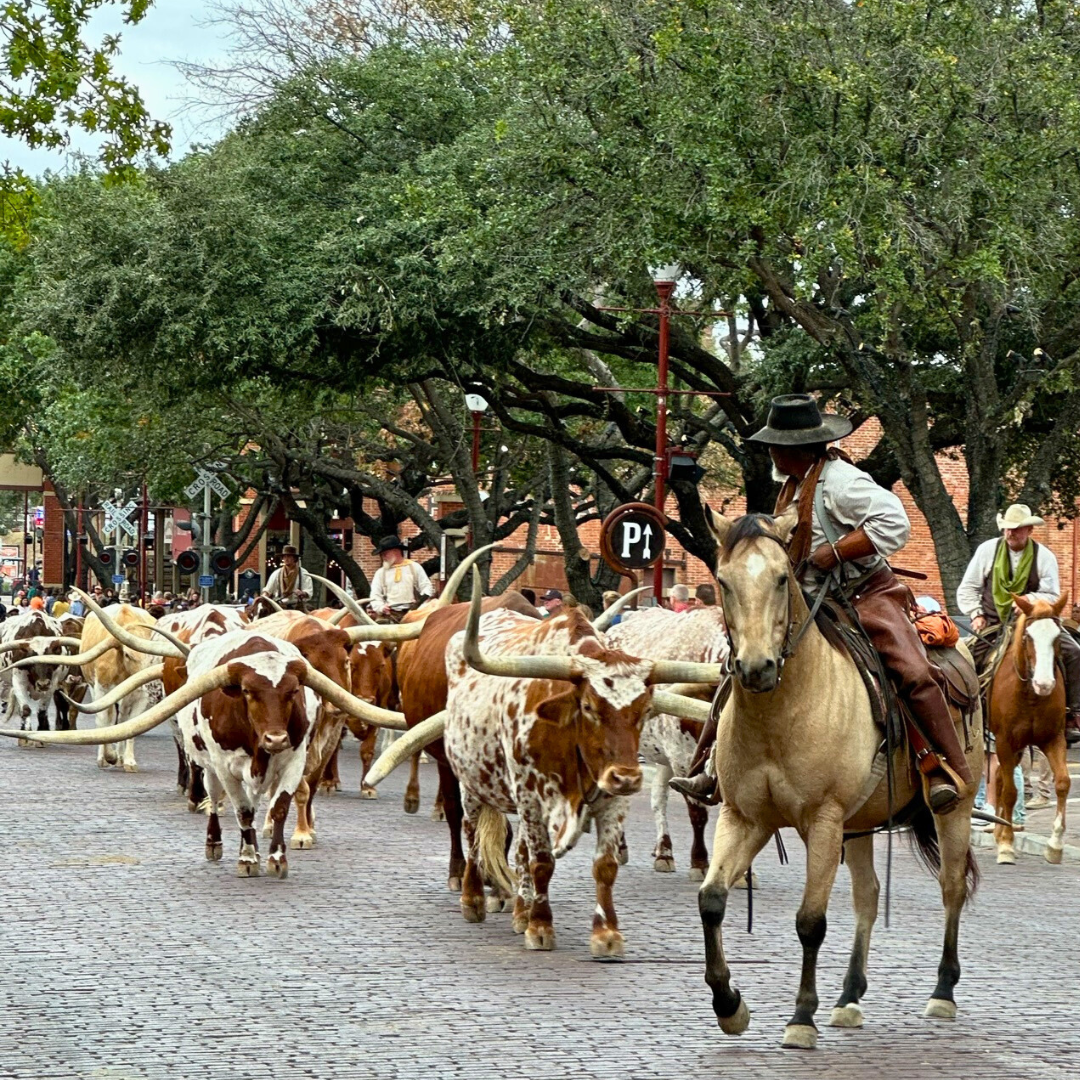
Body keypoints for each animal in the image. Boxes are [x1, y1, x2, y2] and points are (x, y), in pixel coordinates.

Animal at [695, 509, 984, 1049]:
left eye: (781, 578)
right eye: (723, 581)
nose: (756, 667)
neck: (780, 713)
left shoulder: (824, 822)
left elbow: (810, 921)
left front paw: (800, 1018)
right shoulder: (745, 817)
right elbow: (711, 900)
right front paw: (729, 1005)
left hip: (952, 807)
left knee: (952, 887)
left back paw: (942, 991)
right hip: (861, 825)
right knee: (867, 895)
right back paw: (849, 996)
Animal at [989, 596, 1071, 864]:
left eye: (1057, 636)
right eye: (1027, 637)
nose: (1044, 684)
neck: (1031, 697)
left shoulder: (1053, 739)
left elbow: (1063, 783)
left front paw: (1055, 845)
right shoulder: (1004, 741)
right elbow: (1011, 792)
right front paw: (1007, 844)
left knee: (998, 777)